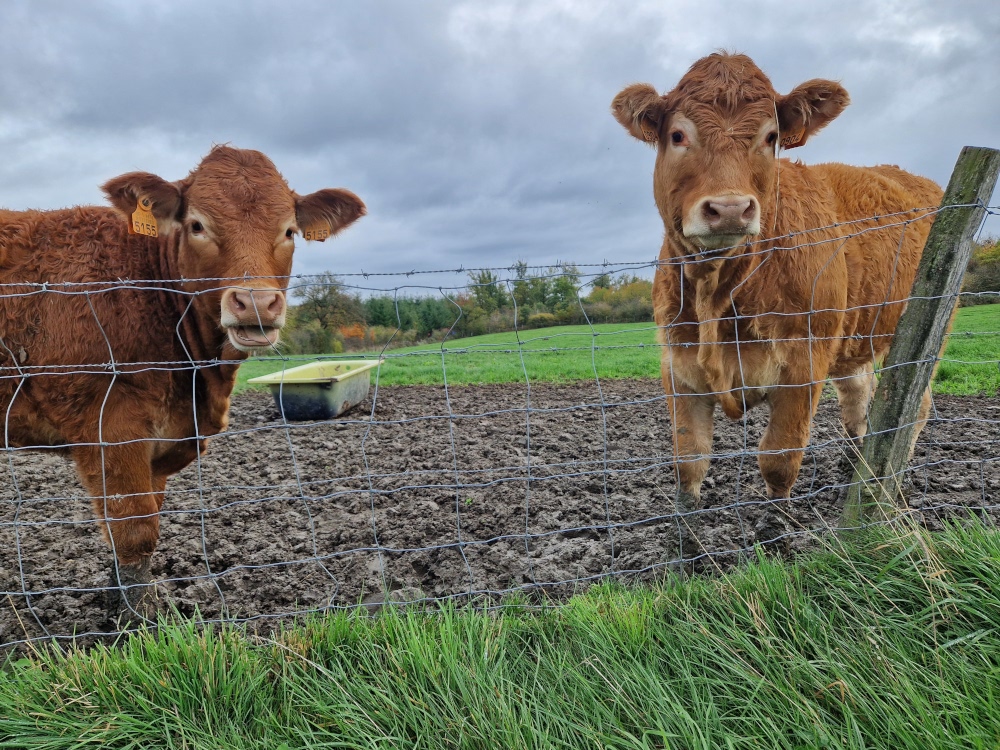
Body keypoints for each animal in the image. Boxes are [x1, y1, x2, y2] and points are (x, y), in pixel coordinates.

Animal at [0, 146, 365, 618]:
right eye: (197, 225)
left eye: (289, 231)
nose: (255, 303)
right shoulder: (109, 427)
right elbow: (135, 530)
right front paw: (135, 623)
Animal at [611, 53, 943, 543]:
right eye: (678, 135)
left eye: (771, 138)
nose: (730, 208)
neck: (719, 292)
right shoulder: (678, 364)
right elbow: (689, 461)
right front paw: (685, 544)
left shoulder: (803, 364)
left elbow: (779, 457)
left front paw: (776, 530)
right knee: (858, 397)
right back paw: (855, 468)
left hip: (928, 331)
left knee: (914, 408)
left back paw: (887, 481)